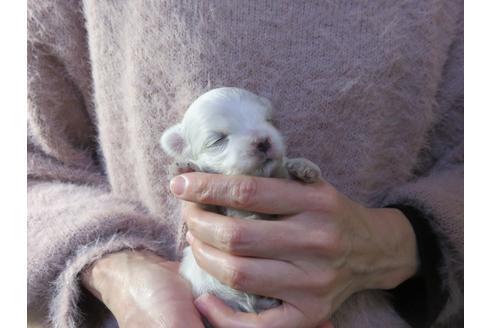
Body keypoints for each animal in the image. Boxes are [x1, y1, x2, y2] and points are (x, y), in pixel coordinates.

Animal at [160, 87, 322, 312]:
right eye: (218, 140)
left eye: (269, 120)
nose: (263, 141)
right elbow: (205, 204)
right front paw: (187, 169)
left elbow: (283, 170)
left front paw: (302, 167)